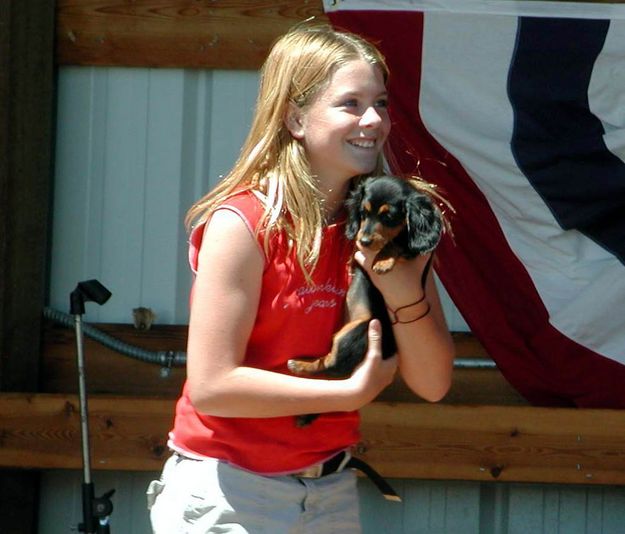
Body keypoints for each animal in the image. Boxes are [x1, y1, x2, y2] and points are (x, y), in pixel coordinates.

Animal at [288, 176, 442, 428]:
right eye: (363, 213)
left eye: (389, 217)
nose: (365, 240)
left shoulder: (414, 250)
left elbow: (398, 243)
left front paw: (382, 261)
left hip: (357, 329)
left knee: (331, 366)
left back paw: (300, 364)